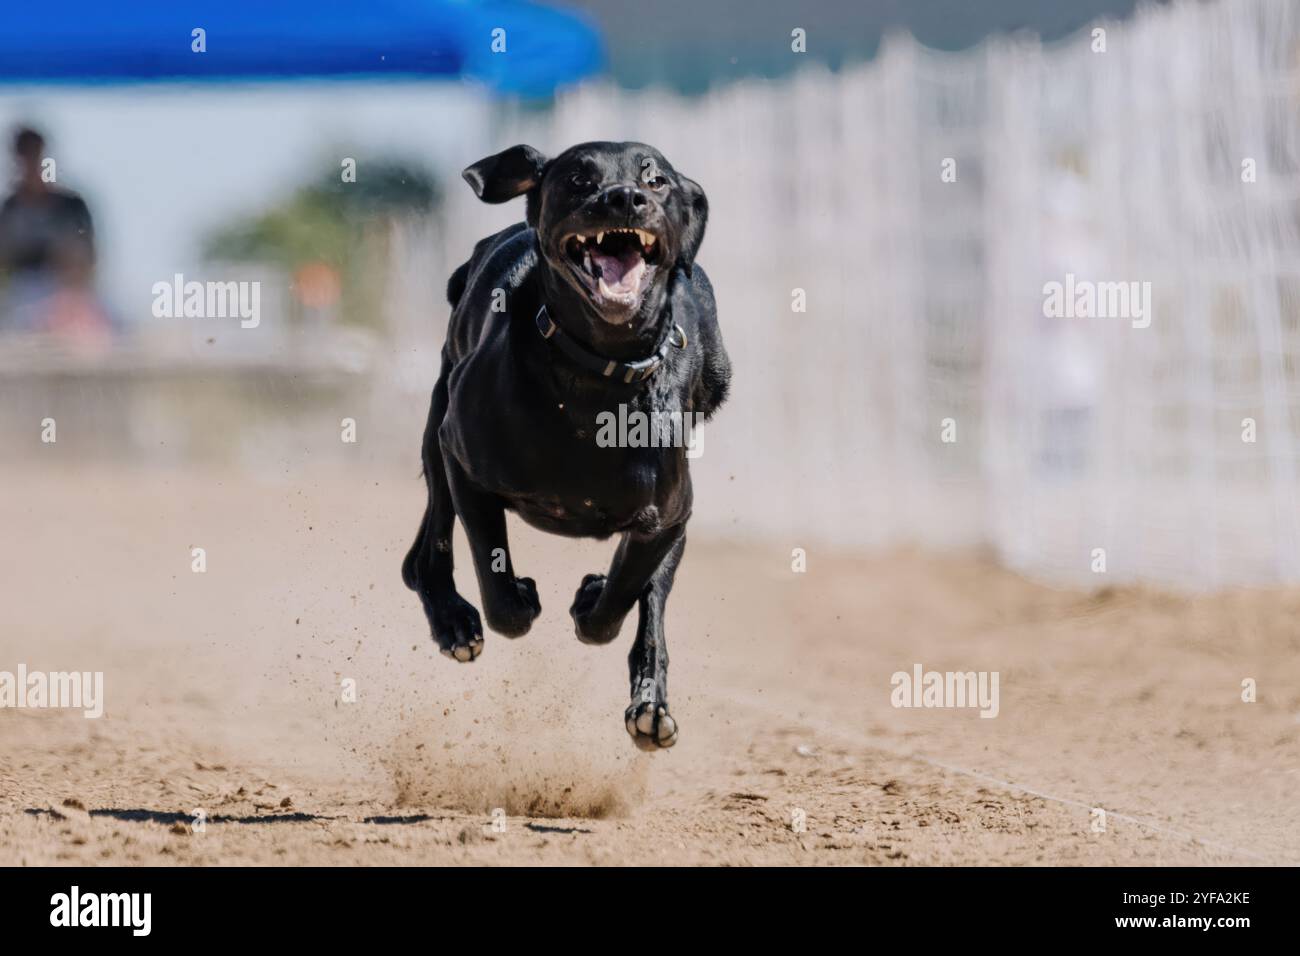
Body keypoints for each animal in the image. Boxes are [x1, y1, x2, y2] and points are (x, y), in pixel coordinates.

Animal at [403, 141, 733, 749]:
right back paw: (454, 622)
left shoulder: (667, 517)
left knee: (652, 605)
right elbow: (498, 586)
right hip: (439, 428)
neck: (594, 378)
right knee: (425, 553)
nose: (625, 198)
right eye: (579, 179)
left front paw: (590, 599)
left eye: (656, 180)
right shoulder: (465, 462)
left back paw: (650, 707)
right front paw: (519, 598)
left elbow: (621, 598)